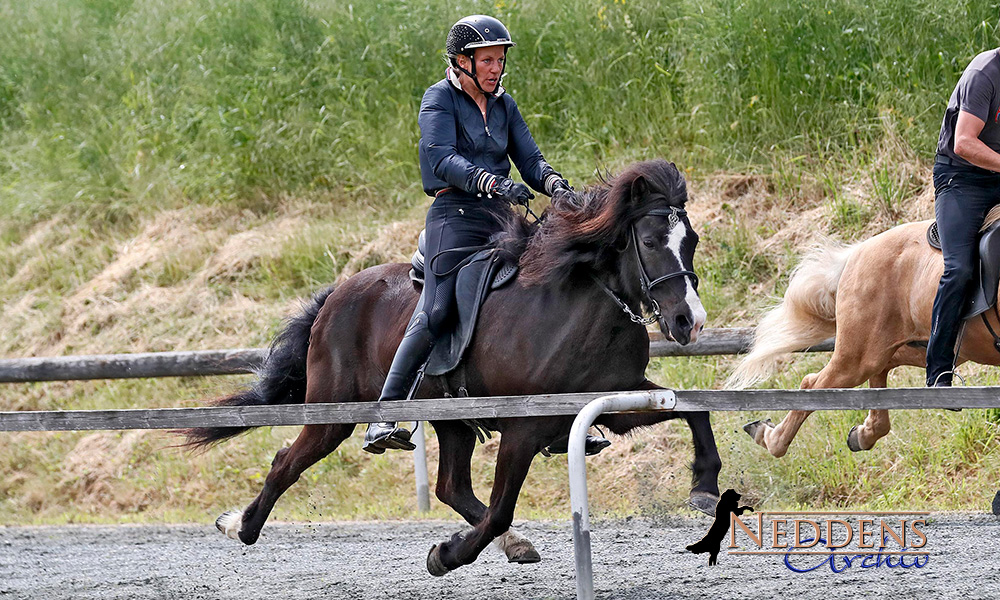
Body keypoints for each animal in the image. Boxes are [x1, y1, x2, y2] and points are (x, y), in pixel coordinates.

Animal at [186, 159, 720, 576]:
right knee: (287, 462)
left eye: (691, 239)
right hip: (333, 413)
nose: (689, 322)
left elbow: (693, 411)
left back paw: (510, 544)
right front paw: (446, 555)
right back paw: (239, 526)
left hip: (452, 420)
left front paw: (705, 489)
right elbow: (502, 506)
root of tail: (337, 292)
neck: (582, 305)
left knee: (451, 488)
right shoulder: (523, 428)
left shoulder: (611, 401)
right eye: (649, 241)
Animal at [728, 218, 1000, 458]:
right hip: (858, 357)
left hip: (913, 347)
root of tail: (859, 250)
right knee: (813, 384)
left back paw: (863, 434)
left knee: (880, 371)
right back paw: (770, 438)